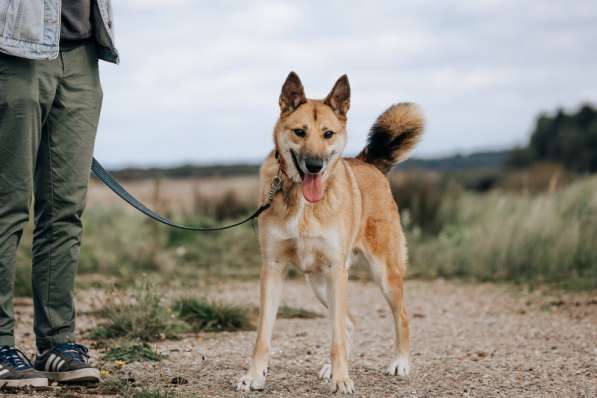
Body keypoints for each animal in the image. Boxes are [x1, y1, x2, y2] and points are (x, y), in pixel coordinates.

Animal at [237, 72, 424, 394]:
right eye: (299, 132)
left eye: (328, 134)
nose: (315, 165)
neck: (304, 201)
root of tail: (367, 161)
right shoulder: (273, 268)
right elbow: (263, 335)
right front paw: (255, 376)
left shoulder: (337, 270)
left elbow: (336, 337)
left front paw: (341, 379)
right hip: (318, 282)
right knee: (348, 322)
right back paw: (329, 367)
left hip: (382, 273)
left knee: (399, 316)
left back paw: (399, 362)